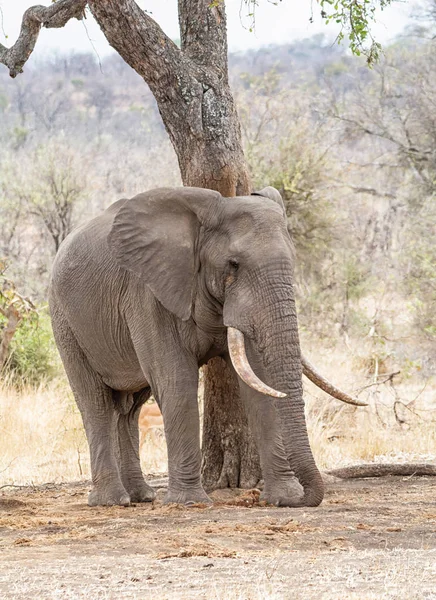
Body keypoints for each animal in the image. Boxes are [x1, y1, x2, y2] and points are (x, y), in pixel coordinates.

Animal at [50, 185, 358, 508]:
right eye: (233, 264)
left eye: (294, 260)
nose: (300, 500)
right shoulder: (148, 294)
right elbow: (176, 381)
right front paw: (189, 502)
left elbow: (259, 382)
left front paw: (283, 497)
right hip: (64, 320)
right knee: (94, 402)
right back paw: (112, 501)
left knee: (130, 408)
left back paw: (141, 496)